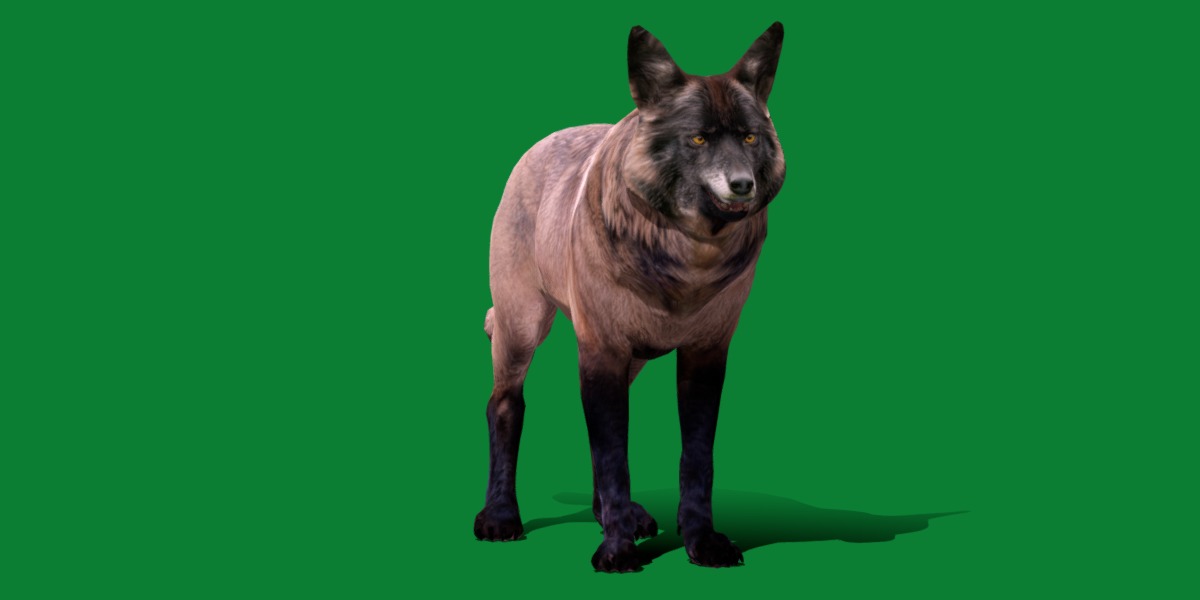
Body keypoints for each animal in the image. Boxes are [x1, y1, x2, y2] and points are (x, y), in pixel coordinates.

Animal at [474, 23, 786, 572]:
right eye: (698, 138)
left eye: (749, 137)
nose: (742, 185)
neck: (688, 259)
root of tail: (543, 142)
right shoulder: (602, 352)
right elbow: (613, 456)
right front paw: (616, 552)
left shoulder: (705, 355)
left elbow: (694, 457)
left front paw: (701, 542)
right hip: (523, 329)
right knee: (504, 405)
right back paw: (501, 517)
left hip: (630, 360)